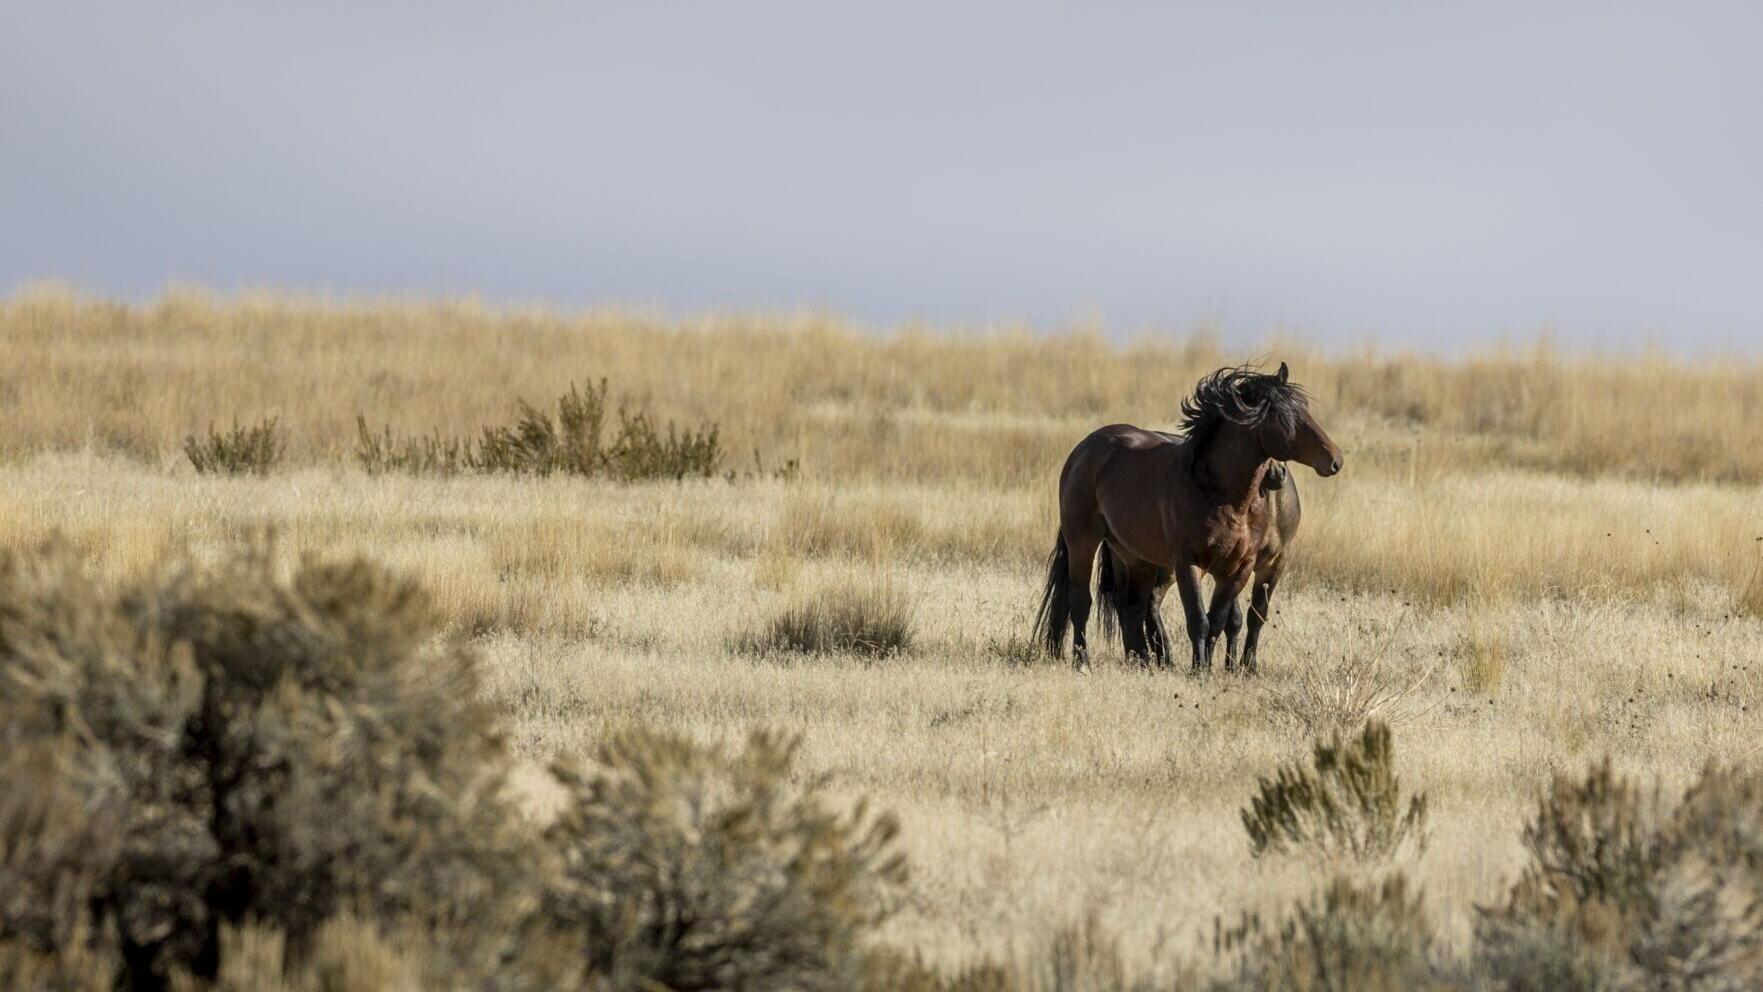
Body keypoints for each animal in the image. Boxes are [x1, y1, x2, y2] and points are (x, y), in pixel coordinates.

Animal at [1032, 363, 1341, 673]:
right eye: (1285, 416)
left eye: (1305, 410)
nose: (1335, 460)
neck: (1221, 495)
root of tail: (1084, 449)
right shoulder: (1188, 562)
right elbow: (1199, 620)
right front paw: (1200, 670)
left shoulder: (1240, 567)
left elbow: (1221, 619)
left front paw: (1212, 667)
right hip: (1083, 542)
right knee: (1081, 601)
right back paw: (1083, 661)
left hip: (1132, 554)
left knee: (1133, 606)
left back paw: (1143, 661)